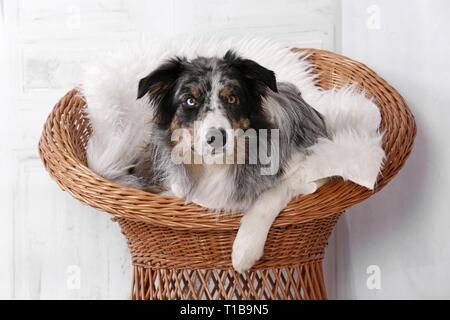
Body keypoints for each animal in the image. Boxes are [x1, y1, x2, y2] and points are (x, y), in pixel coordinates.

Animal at [123, 50, 326, 272]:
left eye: (232, 98)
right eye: (190, 101)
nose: (217, 137)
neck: (218, 163)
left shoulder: (313, 165)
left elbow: (272, 193)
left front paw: (245, 249)